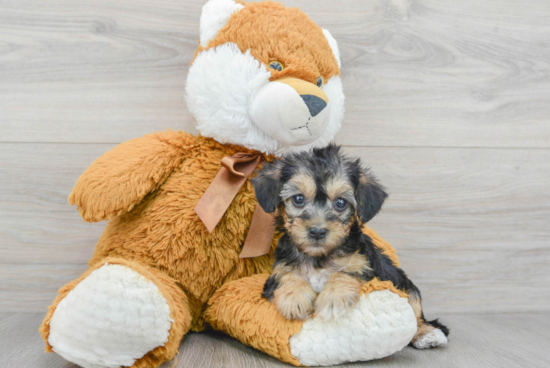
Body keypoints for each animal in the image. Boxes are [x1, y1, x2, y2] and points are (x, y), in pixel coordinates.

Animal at [252, 143, 450, 348]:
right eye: (298, 199)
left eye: (340, 202)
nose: (317, 231)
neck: (319, 257)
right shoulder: (279, 269)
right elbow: (287, 276)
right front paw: (294, 297)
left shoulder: (366, 267)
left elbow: (345, 272)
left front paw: (333, 298)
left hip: (404, 284)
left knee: (417, 314)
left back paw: (428, 334)